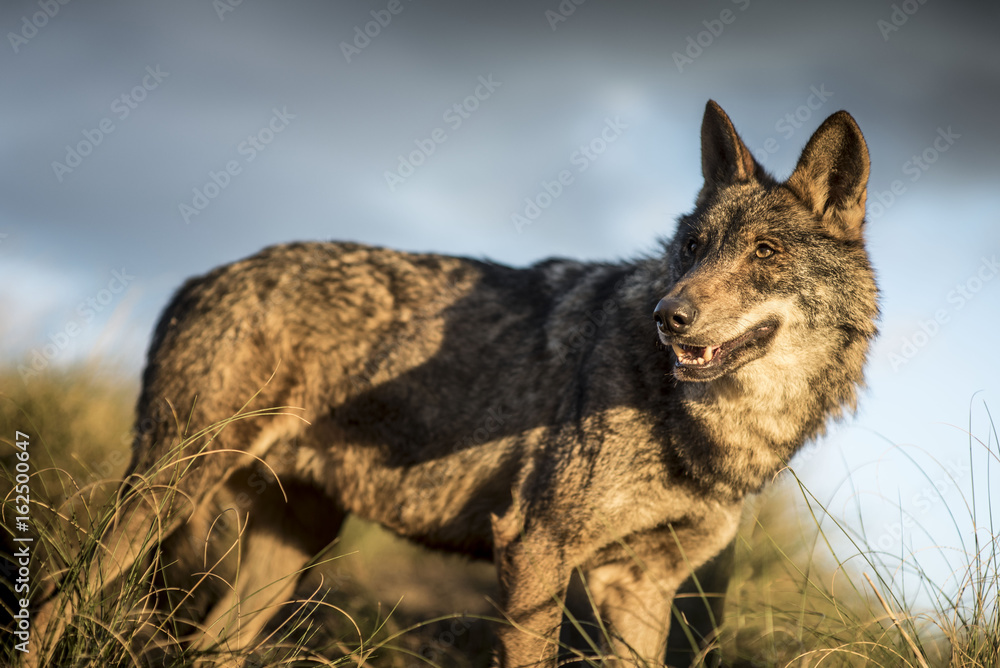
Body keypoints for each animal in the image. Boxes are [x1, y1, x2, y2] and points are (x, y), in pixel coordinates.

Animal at [33, 100, 877, 667]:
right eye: (694, 247)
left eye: (764, 251)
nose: (670, 317)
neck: (707, 430)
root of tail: (204, 276)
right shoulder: (536, 549)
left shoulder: (638, 586)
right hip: (166, 493)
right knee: (55, 597)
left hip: (287, 551)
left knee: (204, 647)